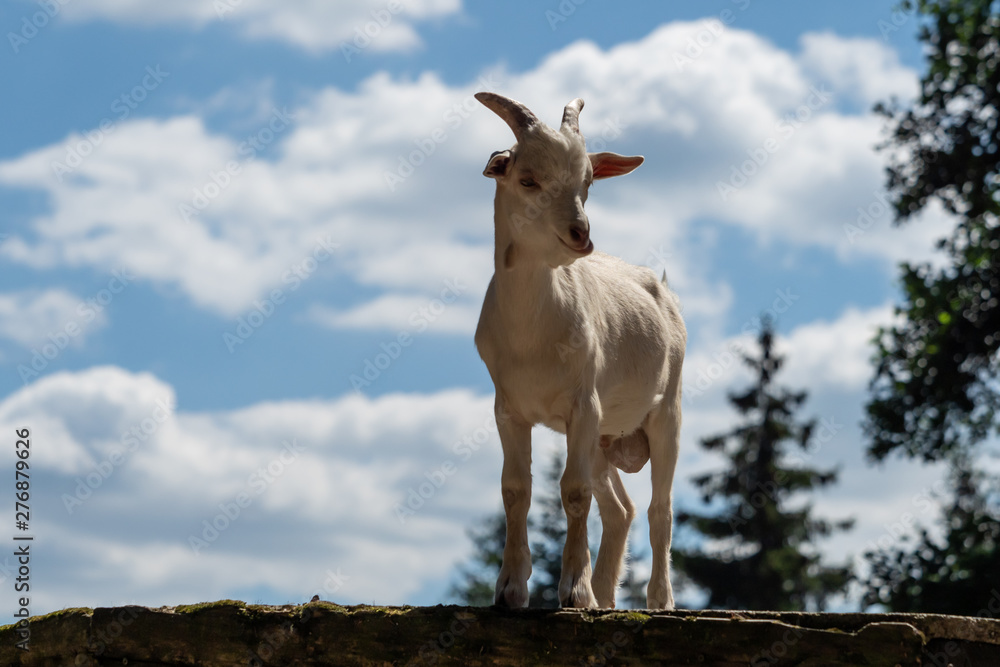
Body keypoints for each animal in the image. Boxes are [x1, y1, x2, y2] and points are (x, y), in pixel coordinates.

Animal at [474, 92, 686, 609]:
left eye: (587, 181)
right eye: (527, 179)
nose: (581, 234)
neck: (532, 336)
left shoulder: (582, 404)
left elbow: (573, 492)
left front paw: (573, 592)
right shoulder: (508, 409)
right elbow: (515, 490)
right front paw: (510, 590)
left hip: (666, 412)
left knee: (660, 509)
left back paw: (658, 601)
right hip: (603, 439)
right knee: (621, 509)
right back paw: (607, 598)